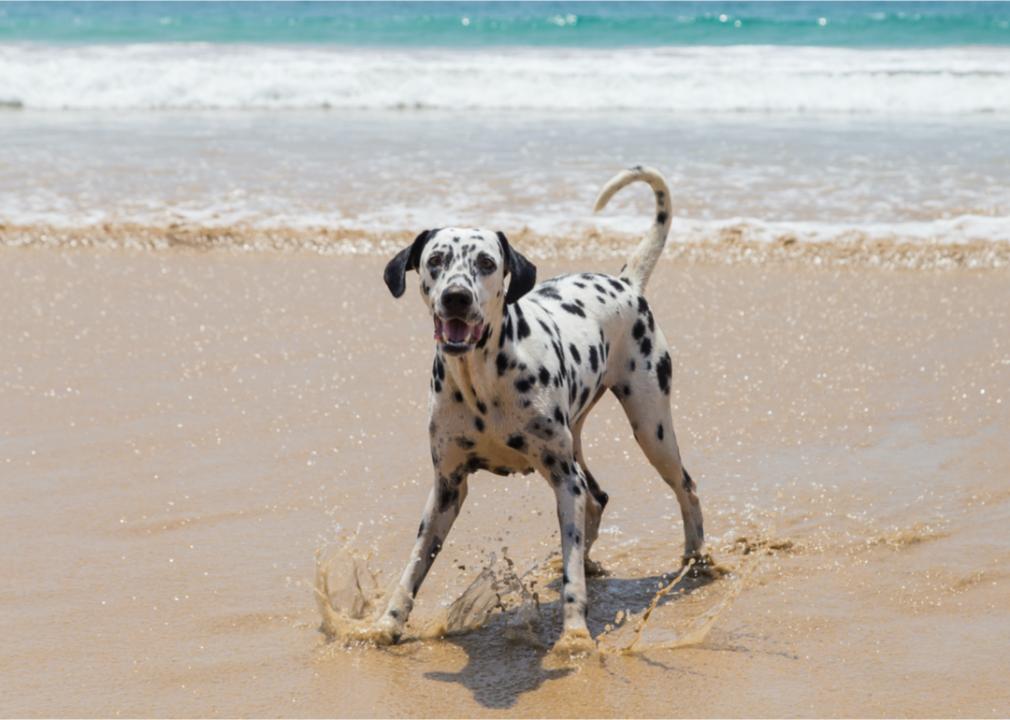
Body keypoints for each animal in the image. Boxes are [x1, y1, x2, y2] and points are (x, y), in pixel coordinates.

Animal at [375, 165, 707, 650]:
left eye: (486, 263)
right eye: (436, 260)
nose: (456, 296)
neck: (483, 383)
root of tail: (626, 283)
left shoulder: (562, 480)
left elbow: (572, 580)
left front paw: (574, 636)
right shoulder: (447, 489)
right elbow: (415, 564)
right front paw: (387, 623)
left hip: (651, 428)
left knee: (685, 487)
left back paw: (696, 558)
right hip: (579, 441)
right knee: (597, 497)